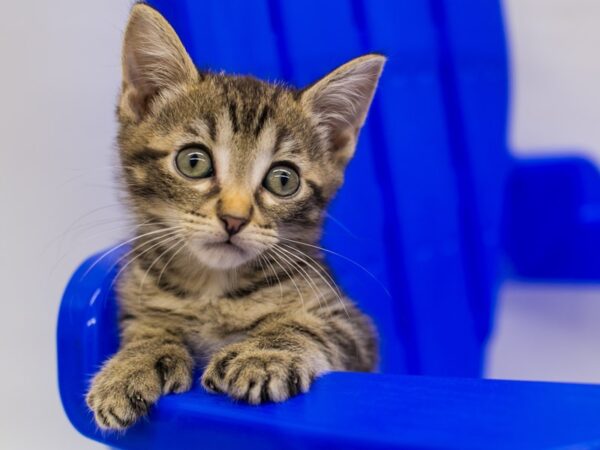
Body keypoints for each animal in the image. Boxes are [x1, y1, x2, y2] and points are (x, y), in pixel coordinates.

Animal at [85, 3, 384, 432]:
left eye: (283, 180)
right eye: (193, 162)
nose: (234, 218)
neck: (213, 289)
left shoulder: (354, 328)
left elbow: (301, 323)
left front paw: (263, 353)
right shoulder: (139, 297)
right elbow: (148, 325)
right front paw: (134, 362)